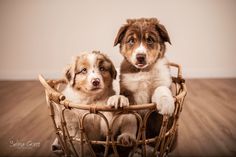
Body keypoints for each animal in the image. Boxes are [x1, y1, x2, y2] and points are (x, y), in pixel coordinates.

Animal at [113, 17, 176, 149]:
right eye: (131, 40)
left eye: (150, 40)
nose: (140, 57)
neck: (144, 71)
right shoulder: (128, 91)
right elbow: (130, 116)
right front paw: (127, 136)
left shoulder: (163, 80)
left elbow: (161, 88)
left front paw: (166, 103)